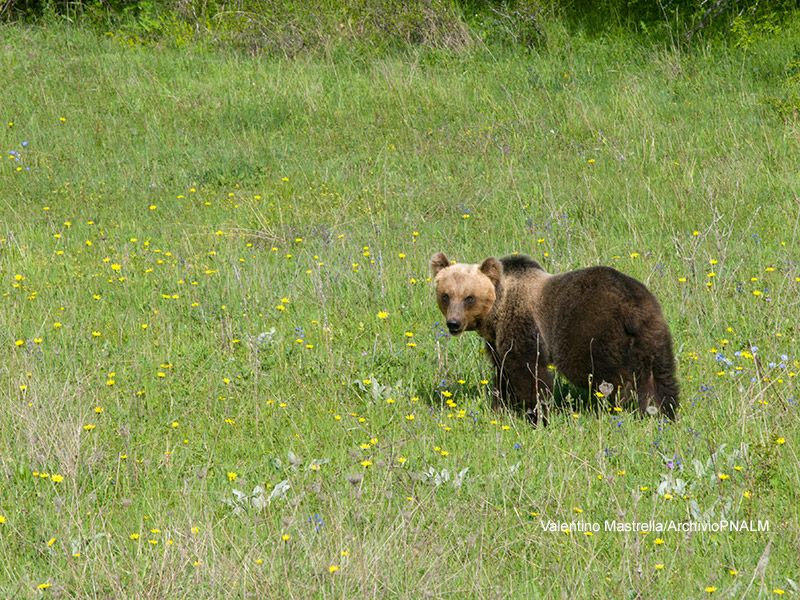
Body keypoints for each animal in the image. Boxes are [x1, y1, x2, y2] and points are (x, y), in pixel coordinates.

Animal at [434, 251, 680, 424]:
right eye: (446, 295)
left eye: (469, 297)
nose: (453, 323)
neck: (497, 311)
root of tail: (632, 308)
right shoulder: (496, 342)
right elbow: (502, 373)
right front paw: (500, 407)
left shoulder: (523, 326)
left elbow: (528, 371)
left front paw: (537, 414)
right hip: (652, 331)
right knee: (660, 375)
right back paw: (663, 411)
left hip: (589, 331)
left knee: (604, 373)